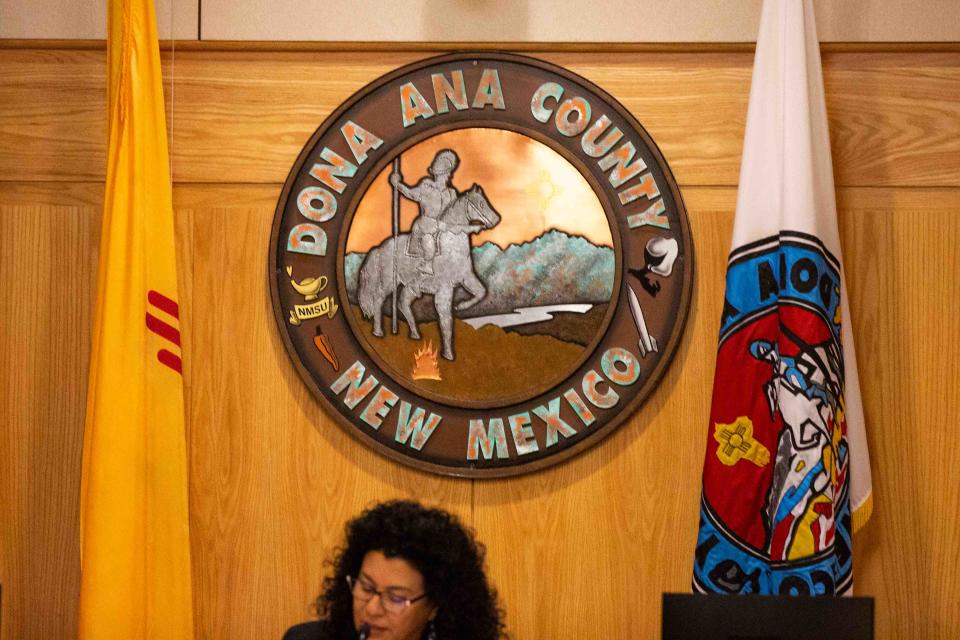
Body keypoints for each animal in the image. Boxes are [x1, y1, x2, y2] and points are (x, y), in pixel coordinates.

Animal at [358, 185, 502, 360]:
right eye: (481, 203)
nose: (496, 220)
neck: (451, 246)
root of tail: (379, 248)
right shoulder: (444, 289)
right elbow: (446, 319)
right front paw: (448, 354)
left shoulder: (467, 278)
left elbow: (481, 292)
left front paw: (460, 306)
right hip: (388, 282)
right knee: (378, 300)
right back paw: (378, 331)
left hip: (411, 287)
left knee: (402, 303)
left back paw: (415, 334)